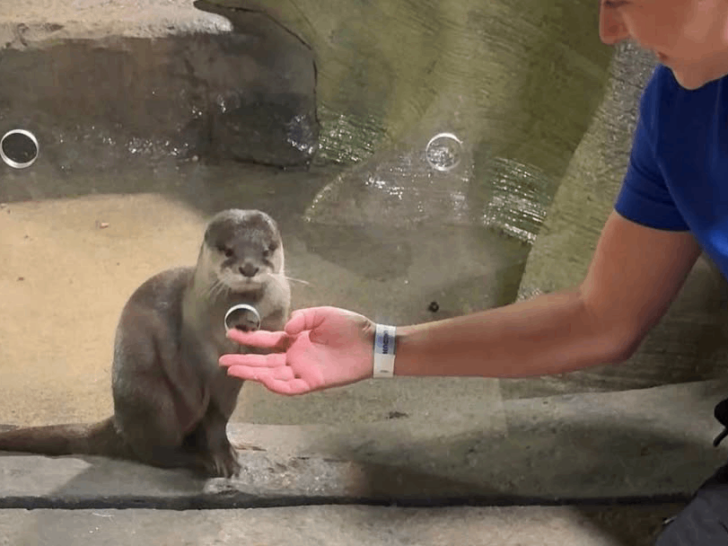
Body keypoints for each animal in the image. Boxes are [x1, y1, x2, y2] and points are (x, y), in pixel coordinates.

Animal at [0, 209, 291, 478]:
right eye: (228, 250)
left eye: (267, 250)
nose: (249, 268)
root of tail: (120, 424)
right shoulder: (196, 353)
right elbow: (206, 410)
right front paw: (220, 457)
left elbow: (221, 416)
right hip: (152, 399)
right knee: (155, 452)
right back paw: (195, 458)